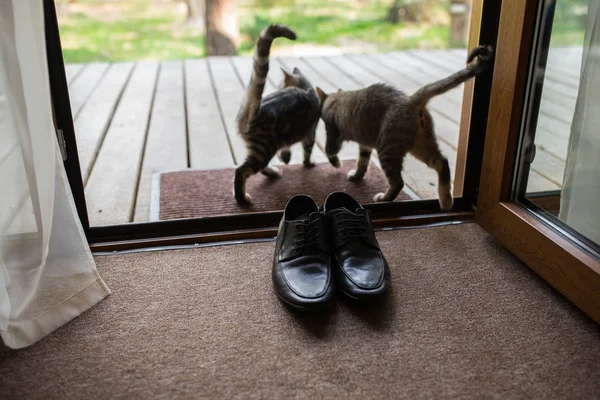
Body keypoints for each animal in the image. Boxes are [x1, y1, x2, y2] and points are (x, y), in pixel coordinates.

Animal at [232, 23, 322, 205]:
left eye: (280, 84)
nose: (279, 87)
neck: (307, 88)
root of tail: (256, 109)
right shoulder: (310, 132)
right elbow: (308, 151)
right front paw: (308, 163)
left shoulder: (288, 137)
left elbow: (286, 148)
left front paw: (286, 157)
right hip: (264, 149)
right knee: (241, 171)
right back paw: (242, 199)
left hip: (261, 149)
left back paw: (273, 172)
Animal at [316, 44, 494, 209]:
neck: (336, 98)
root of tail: (411, 100)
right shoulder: (365, 144)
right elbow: (362, 162)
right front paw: (356, 176)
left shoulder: (332, 132)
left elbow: (330, 150)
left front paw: (337, 164)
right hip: (421, 145)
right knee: (442, 162)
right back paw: (446, 201)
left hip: (388, 149)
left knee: (398, 182)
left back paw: (384, 198)